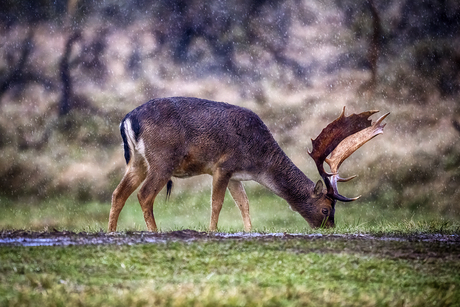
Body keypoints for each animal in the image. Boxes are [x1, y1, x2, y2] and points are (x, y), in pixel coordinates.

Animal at [108, 97, 388, 232]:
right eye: (325, 209)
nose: (329, 229)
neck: (258, 162)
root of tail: (128, 120)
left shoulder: (235, 175)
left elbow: (244, 204)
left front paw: (249, 230)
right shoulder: (223, 165)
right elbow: (217, 203)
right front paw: (212, 231)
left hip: (137, 162)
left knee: (118, 193)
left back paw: (111, 231)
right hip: (163, 158)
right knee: (144, 194)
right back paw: (154, 231)